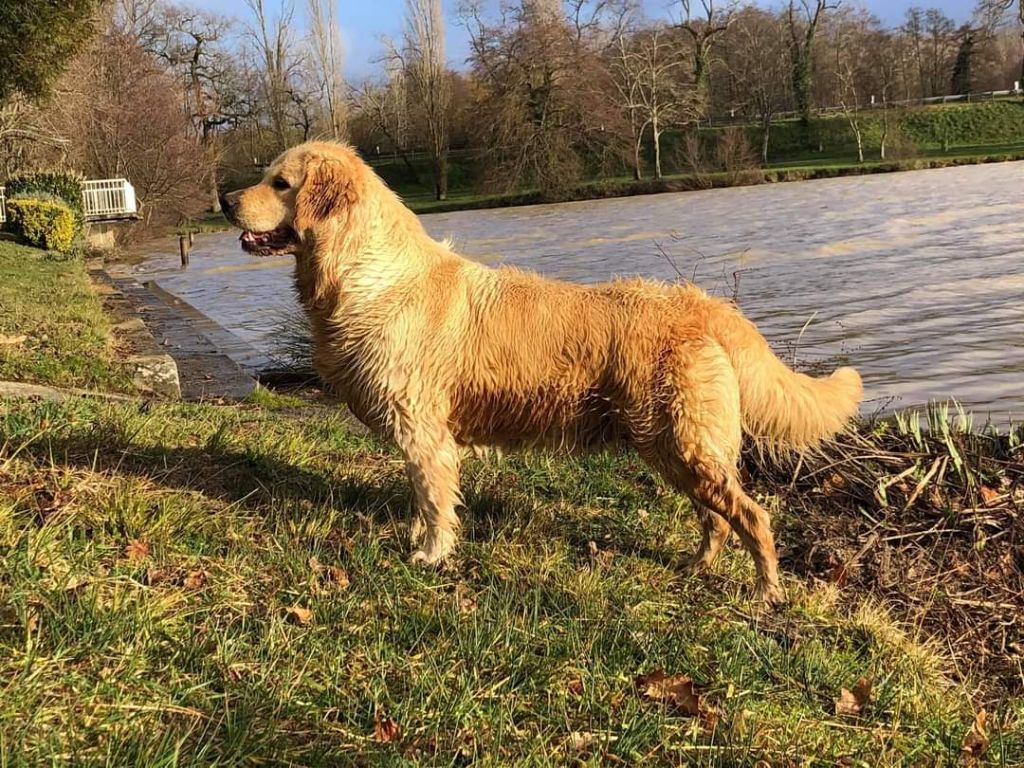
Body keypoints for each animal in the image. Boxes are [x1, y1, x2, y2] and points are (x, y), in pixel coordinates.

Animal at [220, 141, 860, 606]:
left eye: (281, 182)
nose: (225, 199)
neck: (363, 273)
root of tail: (697, 302)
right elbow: (424, 501)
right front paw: (421, 544)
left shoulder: (423, 433)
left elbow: (434, 501)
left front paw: (429, 556)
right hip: (677, 447)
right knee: (717, 518)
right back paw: (696, 565)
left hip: (680, 441)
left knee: (752, 515)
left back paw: (766, 591)